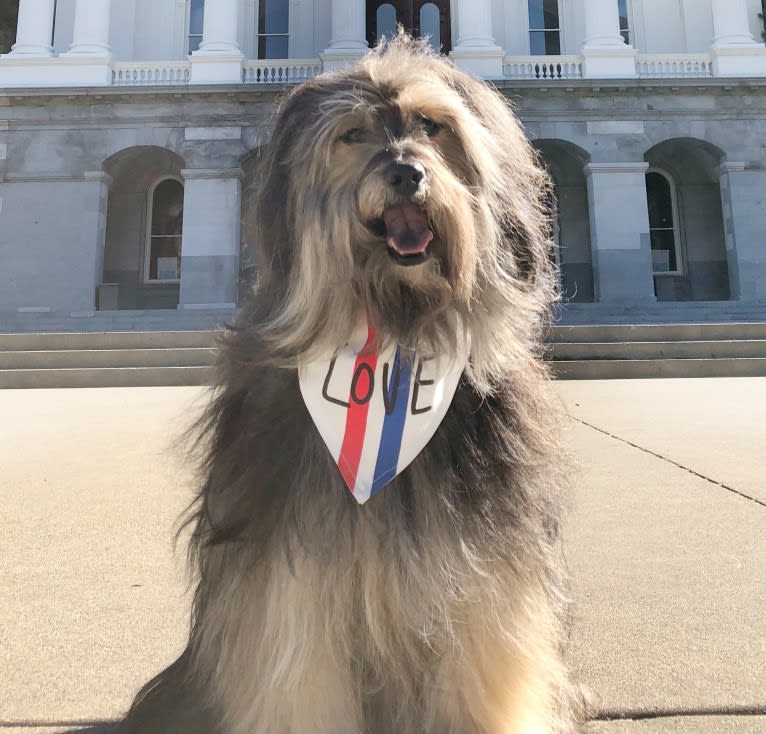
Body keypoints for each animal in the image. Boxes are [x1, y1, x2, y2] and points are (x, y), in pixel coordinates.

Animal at [117, 33, 580, 734]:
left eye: (433, 126)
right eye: (354, 134)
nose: (406, 173)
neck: (391, 336)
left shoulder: (484, 568)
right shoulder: (291, 575)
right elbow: (297, 667)